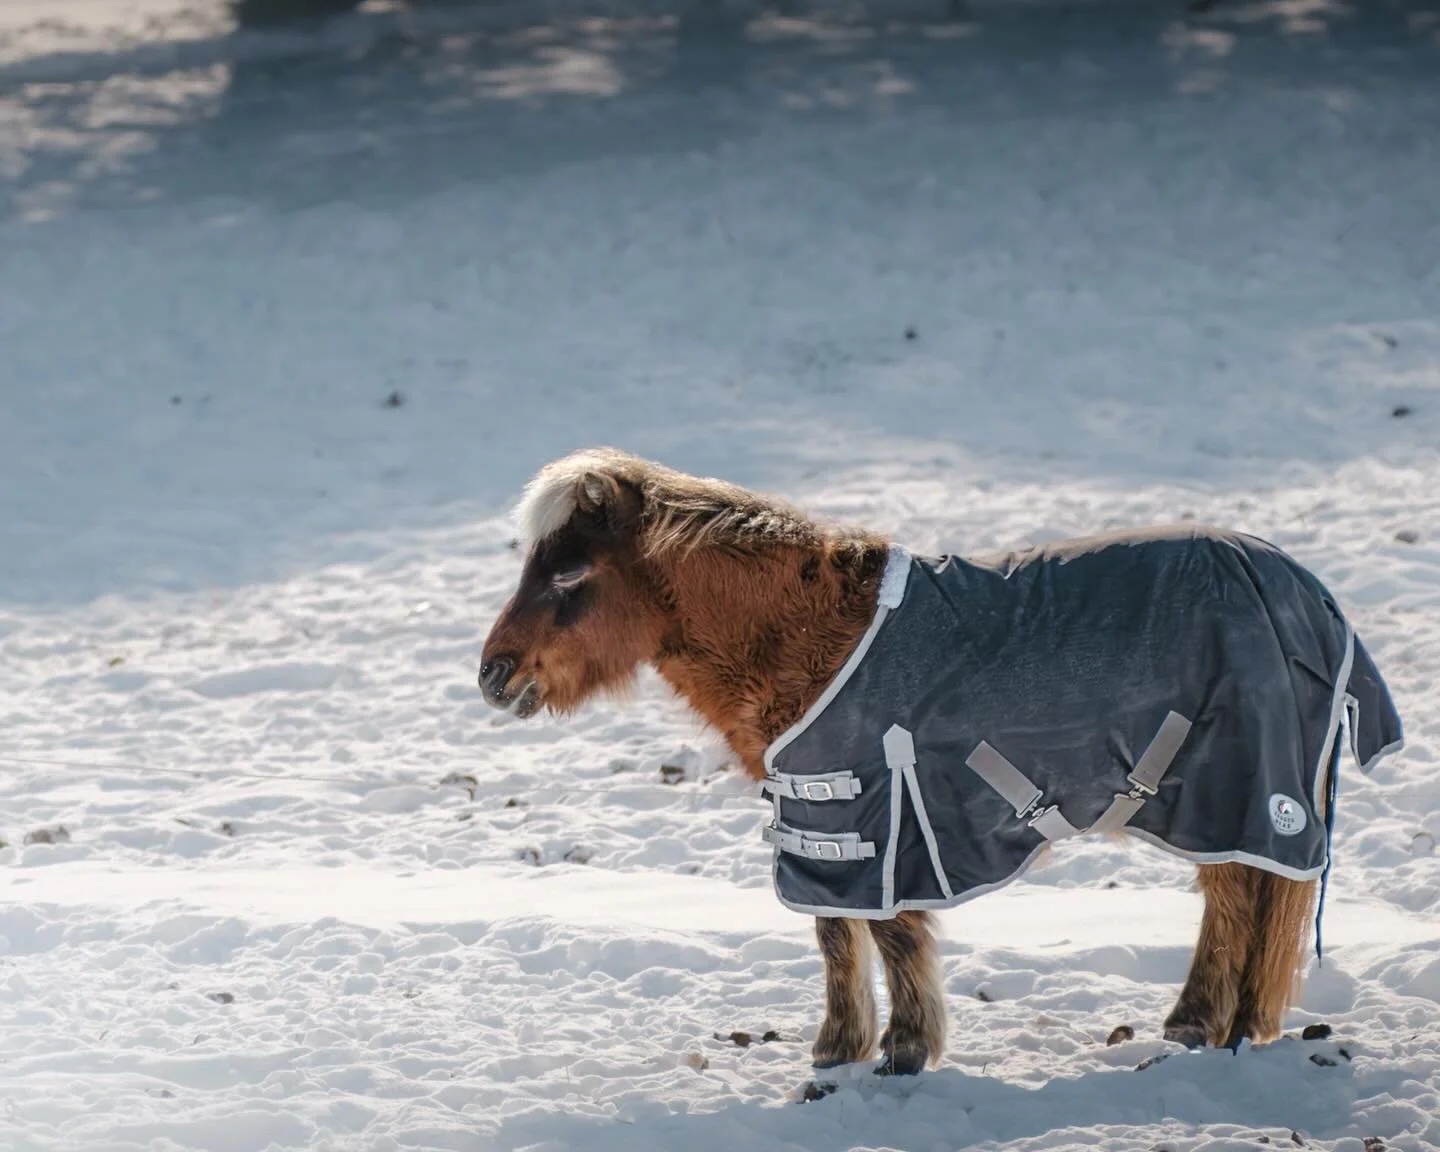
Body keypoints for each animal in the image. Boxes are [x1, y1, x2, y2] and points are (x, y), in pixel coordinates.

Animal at [478, 447, 1402, 1077]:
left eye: (570, 573)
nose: (493, 674)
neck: (807, 637)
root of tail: (1310, 594)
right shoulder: (826, 819)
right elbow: (835, 934)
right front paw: (839, 1048)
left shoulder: (882, 811)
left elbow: (889, 931)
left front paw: (904, 1050)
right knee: (1239, 898)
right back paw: (1215, 1026)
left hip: (1236, 796)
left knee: (1242, 896)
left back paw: (1214, 1026)